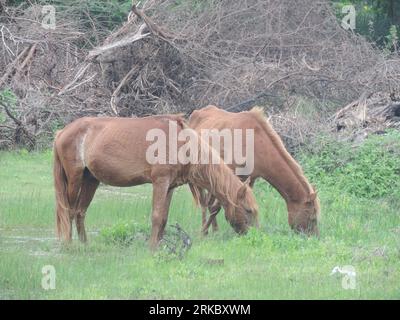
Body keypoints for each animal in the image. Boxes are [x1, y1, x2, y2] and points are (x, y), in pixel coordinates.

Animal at [53, 114, 258, 249]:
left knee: (80, 212)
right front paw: (152, 248)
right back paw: (69, 245)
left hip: (91, 181)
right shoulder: (160, 182)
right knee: (69, 211)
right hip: (74, 179)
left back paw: (85, 245)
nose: (254, 236)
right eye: (248, 210)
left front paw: (160, 246)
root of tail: (62, 131)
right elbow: (157, 216)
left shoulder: (170, 187)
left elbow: (164, 218)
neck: (182, 143)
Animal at [189, 106, 320, 236]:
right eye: (312, 218)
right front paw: (204, 232)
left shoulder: (249, 179)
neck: (255, 144)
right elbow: (217, 207)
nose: (314, 237)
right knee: (204, 203)